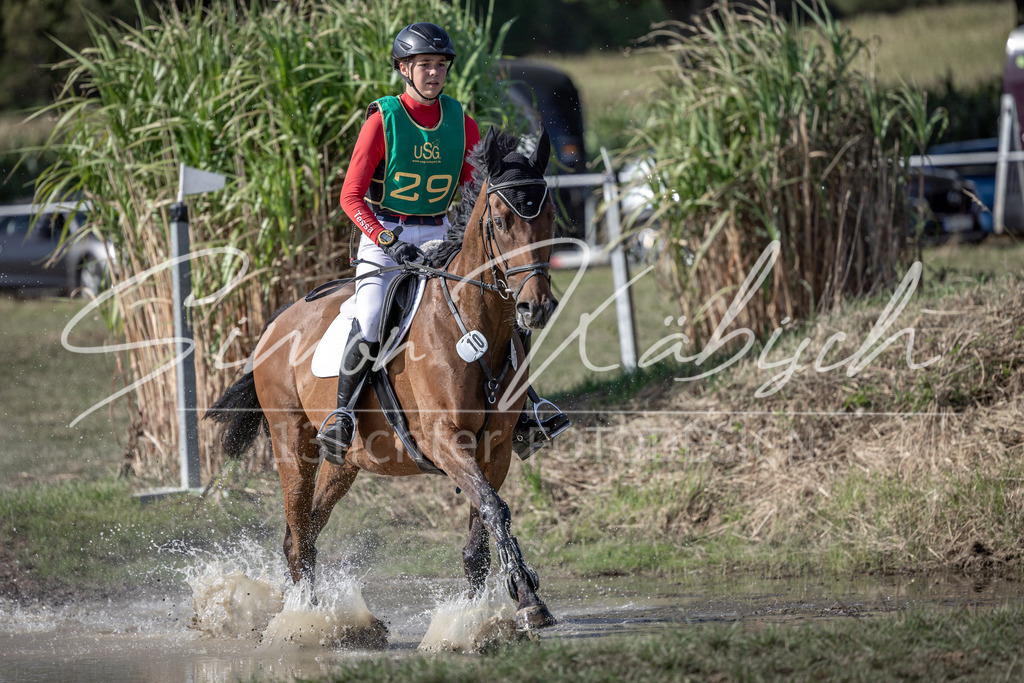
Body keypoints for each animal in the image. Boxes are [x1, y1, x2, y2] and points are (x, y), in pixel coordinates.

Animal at [205, 127, 560, 631]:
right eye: (500, 220)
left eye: (548, 216)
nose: (536, 307)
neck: (472, 325)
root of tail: (276, 322)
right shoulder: (445, 440)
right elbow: (496, 508)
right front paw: (528, 599)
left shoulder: (496, 447)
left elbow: (482, 535)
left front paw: (477, 617)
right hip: (291, 445)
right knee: (297, 537)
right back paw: (308, 621)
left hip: (344, 462)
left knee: (306, 533)